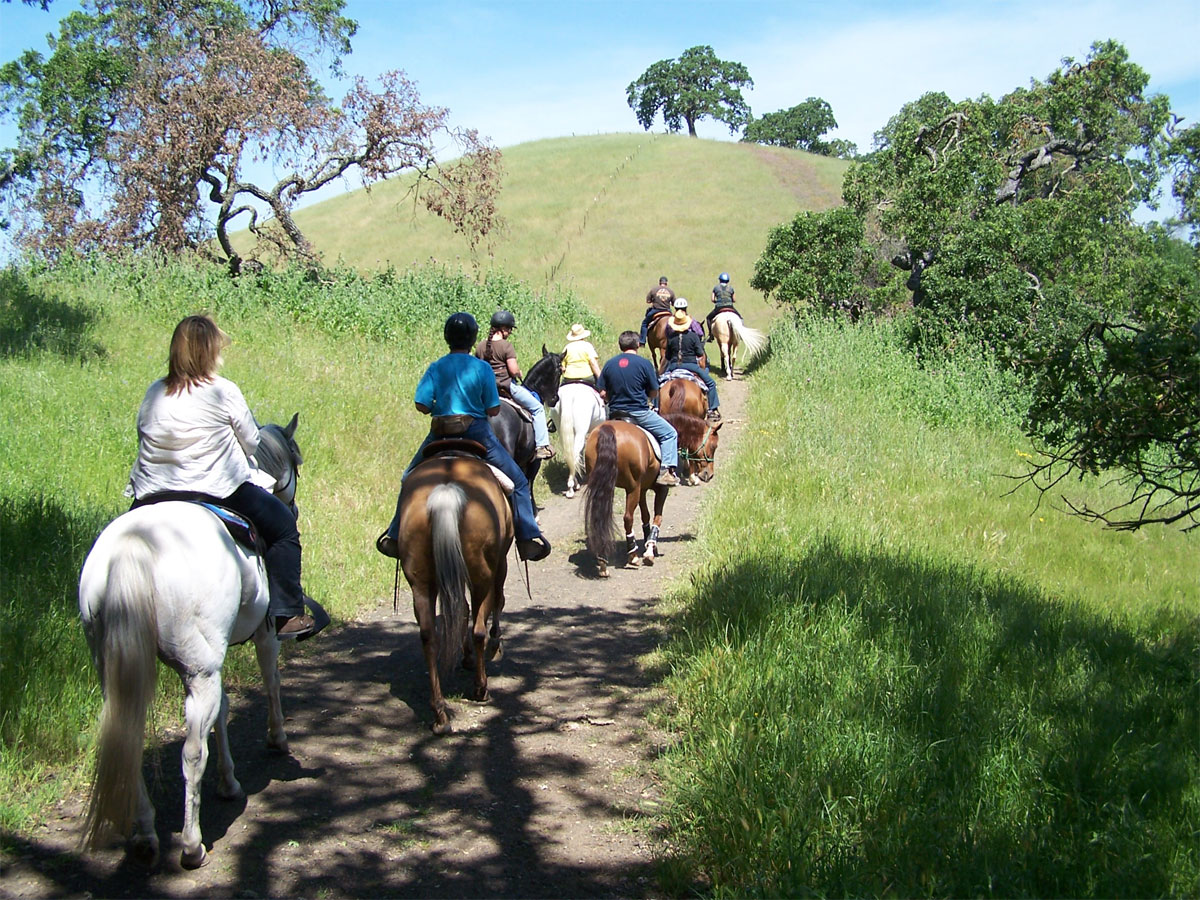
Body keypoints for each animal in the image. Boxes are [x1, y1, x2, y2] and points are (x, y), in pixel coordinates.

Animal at [77, 415, 304, 873]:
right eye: (297, 466)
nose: (293, 510)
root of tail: (137, 546)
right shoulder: (264, 635)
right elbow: (270, 680)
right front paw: (276, 739)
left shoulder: (214, 661)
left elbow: (225, 710)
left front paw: (230, 781)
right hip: (201, 670)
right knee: (191, 754)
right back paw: (191, 844)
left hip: (122, 669)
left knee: (129, 739)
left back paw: (146, 836)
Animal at [391, 453, 508, 734]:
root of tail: (446, 491)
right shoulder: (500, 564)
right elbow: (496, 603)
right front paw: (495, 644)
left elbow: (459, 612)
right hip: (481, 577)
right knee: (478, 628)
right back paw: (481, 688)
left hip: (421, 584)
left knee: (429, 635)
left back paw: (440, 714)